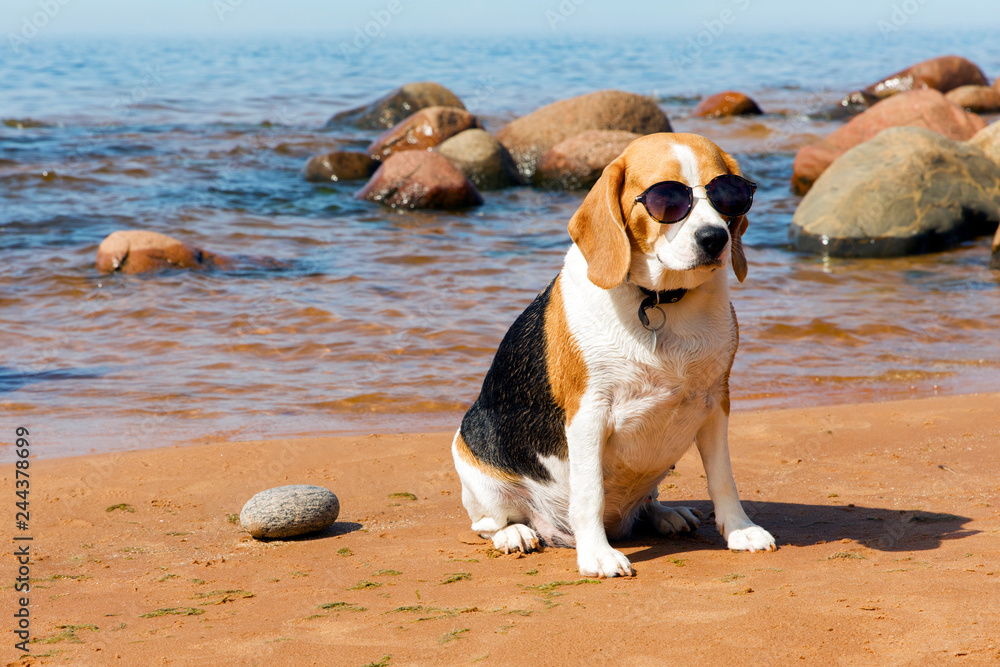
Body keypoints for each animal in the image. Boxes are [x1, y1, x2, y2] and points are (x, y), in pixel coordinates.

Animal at [452, 132, 772, 580]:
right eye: (665, 198)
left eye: (730, 195)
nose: (715, 239)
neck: (658, 301)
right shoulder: (588, 415)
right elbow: (589, 493)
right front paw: (597, 556)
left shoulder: (715, 402)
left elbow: (723, 476)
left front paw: (741, 530)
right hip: (474, 463)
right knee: (488, 523)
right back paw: (514, 534)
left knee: (646, 503)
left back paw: (663, 514)